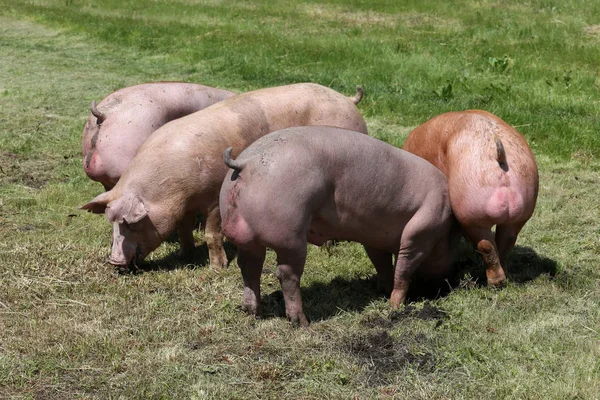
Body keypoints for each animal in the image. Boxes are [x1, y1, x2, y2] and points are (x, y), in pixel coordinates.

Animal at [218, 126, 452, 326]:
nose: (441, 289)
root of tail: (246, 162)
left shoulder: (374, 236)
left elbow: (382, 263)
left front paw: (383, 291)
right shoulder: (421, 231)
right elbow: (403, 269)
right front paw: (394, 306)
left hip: (248, 238)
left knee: (249, 266)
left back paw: (252, 312)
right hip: (290, 236)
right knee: (286, 275)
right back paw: (302, 322)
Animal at [404, 109, 540, 288]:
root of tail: (497, 150)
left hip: (471, 211)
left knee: (486, 245)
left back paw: (493, 283)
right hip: (522, 207)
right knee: (506, 241)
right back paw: (504, 278)